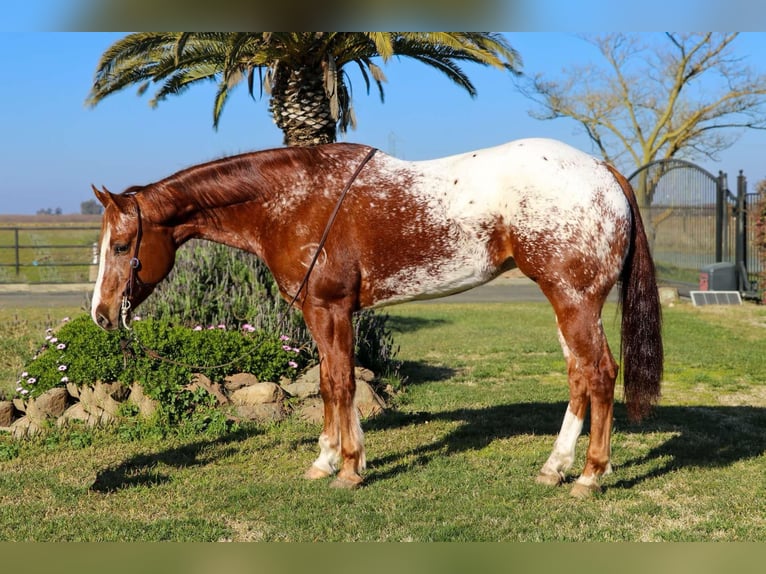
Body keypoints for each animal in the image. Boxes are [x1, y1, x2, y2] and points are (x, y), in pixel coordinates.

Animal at [91, 137, 664, 498]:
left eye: (121, 246)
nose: (100, 315)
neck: (295, 201)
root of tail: (604, 171)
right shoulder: (319, 313)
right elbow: (327, 382)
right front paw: (325, 461)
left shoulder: (330, 309)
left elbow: (342, 383)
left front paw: (349, 468)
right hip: (567, 304)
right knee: (579, 377)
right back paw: (554, 468)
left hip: (575, 301)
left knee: (599, 374)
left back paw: (589, 476)